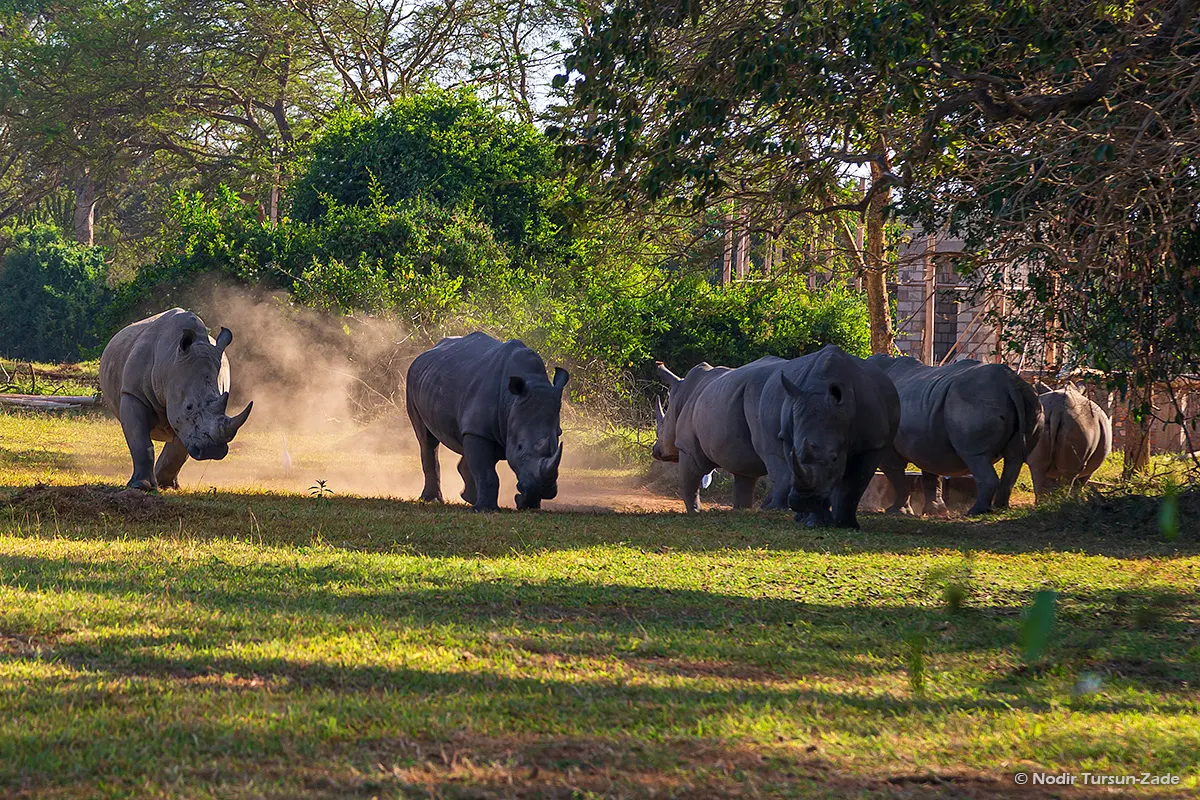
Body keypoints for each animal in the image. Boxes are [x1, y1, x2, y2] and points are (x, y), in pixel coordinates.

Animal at [99, 308, 253, 491]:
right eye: (189, 407)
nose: (213, 451)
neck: (169, 364)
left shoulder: (184, 419)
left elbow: (178, 450)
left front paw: (165, 485)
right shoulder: (133, 393)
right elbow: (141, 443)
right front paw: (141, 486)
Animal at [406, 332, 569, 511]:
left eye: (556, 442)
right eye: (519, 447)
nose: (545, 490)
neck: (511, 401)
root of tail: (427, 352)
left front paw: (529, 505)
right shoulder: (480, 431)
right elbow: (487, 473)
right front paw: (486, 510)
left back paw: (468, 497)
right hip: (412, 381)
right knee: (427, 440)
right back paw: (432, 499)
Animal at [653, 346, 899, 526]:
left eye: (661, 428)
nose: (656, 452)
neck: (681, 395)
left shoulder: (687, 446)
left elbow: (690, 478)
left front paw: (694, 512)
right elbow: (743, 483)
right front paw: (741, 509)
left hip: (766, 399)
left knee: (774, 455)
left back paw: (775, 509)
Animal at [866, 356, 1042, 516]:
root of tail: (1010, 383)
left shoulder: (889, 449)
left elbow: (897, 477)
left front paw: (896, 511)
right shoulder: (927, 440)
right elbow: (931, 475)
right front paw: (935, 511)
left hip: (975, 401)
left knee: (976, 455)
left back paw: (975, 512)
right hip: (1030, 401)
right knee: (1014, 459)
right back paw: (1000, 509)